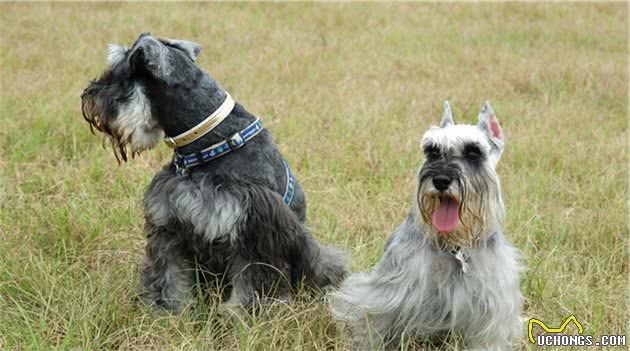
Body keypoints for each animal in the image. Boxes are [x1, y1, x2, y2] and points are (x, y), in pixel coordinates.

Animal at [81, 33, 348, 312]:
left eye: (118, 73)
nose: (88, 96)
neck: (210, 143)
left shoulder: (255, 230)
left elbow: (252, 280)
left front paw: (241, 313)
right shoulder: (169, 223)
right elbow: (168, 272)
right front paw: (166, 308)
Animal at [328, 101, 524, 350]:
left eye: (473, 151)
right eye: (432, 150)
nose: (440, 180)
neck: (455, 246)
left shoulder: (492, 303)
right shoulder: (389, 290)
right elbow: (374, 321)